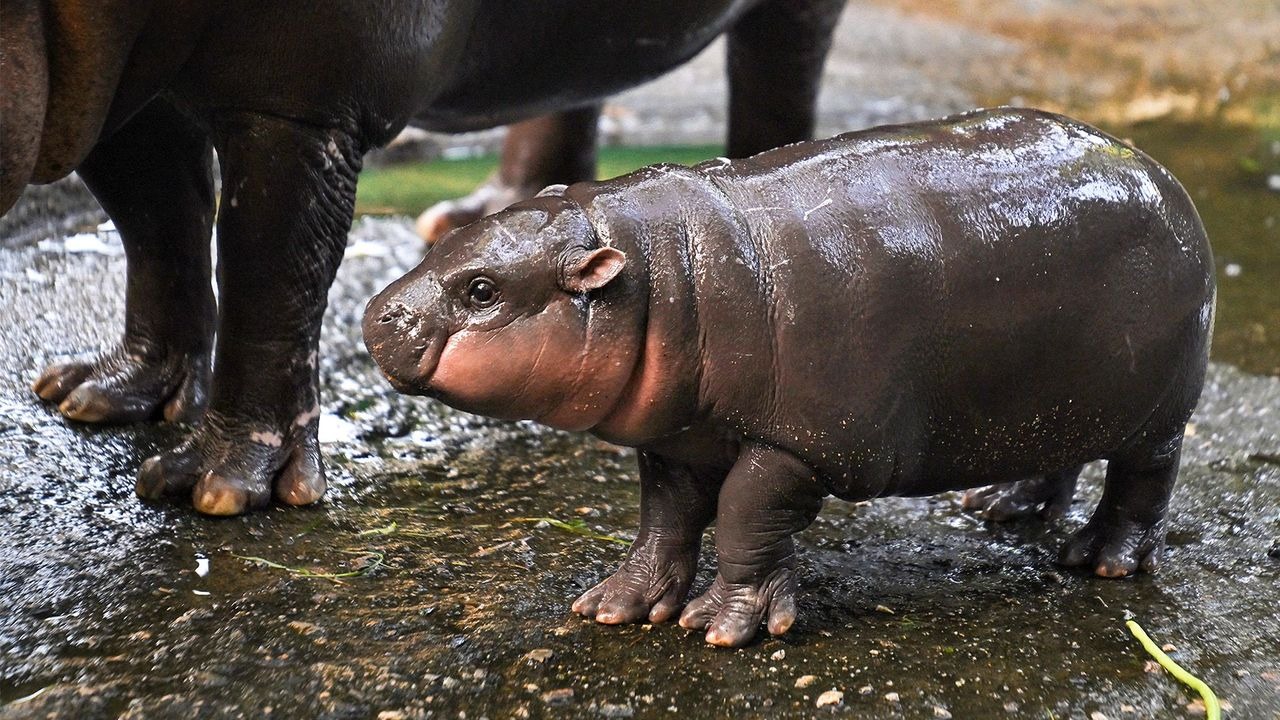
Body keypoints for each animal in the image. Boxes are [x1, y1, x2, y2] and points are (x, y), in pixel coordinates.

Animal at [2, 0, 849, 515]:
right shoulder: (110, 88)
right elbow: (161, 230)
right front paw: (98, 396)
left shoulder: (302, 101)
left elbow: (266, 274)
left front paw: (216, 487)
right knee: (567, 84)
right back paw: (475, 215)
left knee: (777, 71)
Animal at [360, 107, 1208, 645]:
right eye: (452, 238)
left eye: (482, 290)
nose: (375, 315)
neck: (667, 277)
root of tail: (1158, 170)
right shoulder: (680, 439)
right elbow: (663, 520)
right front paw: (614, 606)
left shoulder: (798, 446)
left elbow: (742, 516)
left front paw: (718, 626)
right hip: (1061, 391)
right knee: (1060, 453)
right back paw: (1002, 507)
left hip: (1159, 410)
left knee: (1144, 479)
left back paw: (1099, 560)